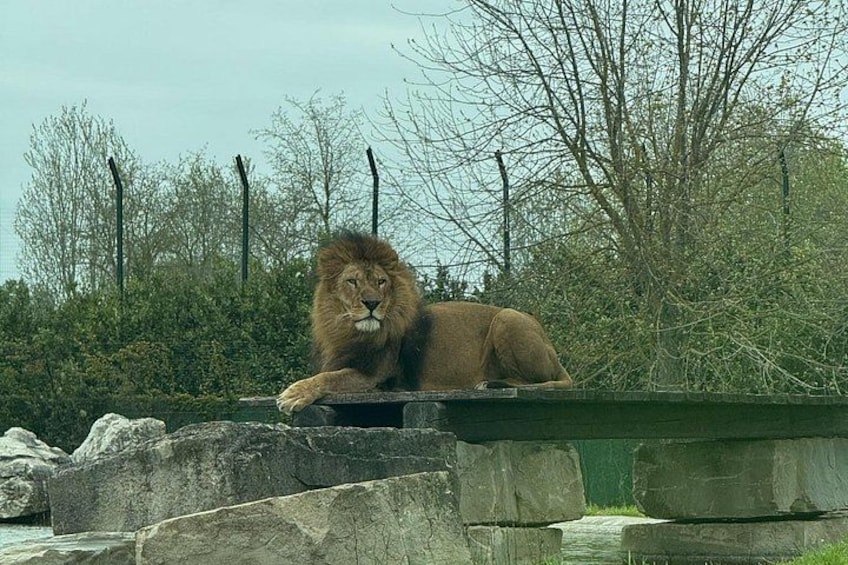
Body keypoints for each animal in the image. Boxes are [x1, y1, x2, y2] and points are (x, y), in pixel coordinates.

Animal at [277, 232, 573, 414]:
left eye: (381, 282)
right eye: (352, 281)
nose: (372, 303)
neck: (347, 331)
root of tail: (553, 352)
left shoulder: (376, 376)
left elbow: (330, 377)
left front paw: (293, 394)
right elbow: (327, 373)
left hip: (507, 316)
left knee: (532, 381)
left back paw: (489, 384)